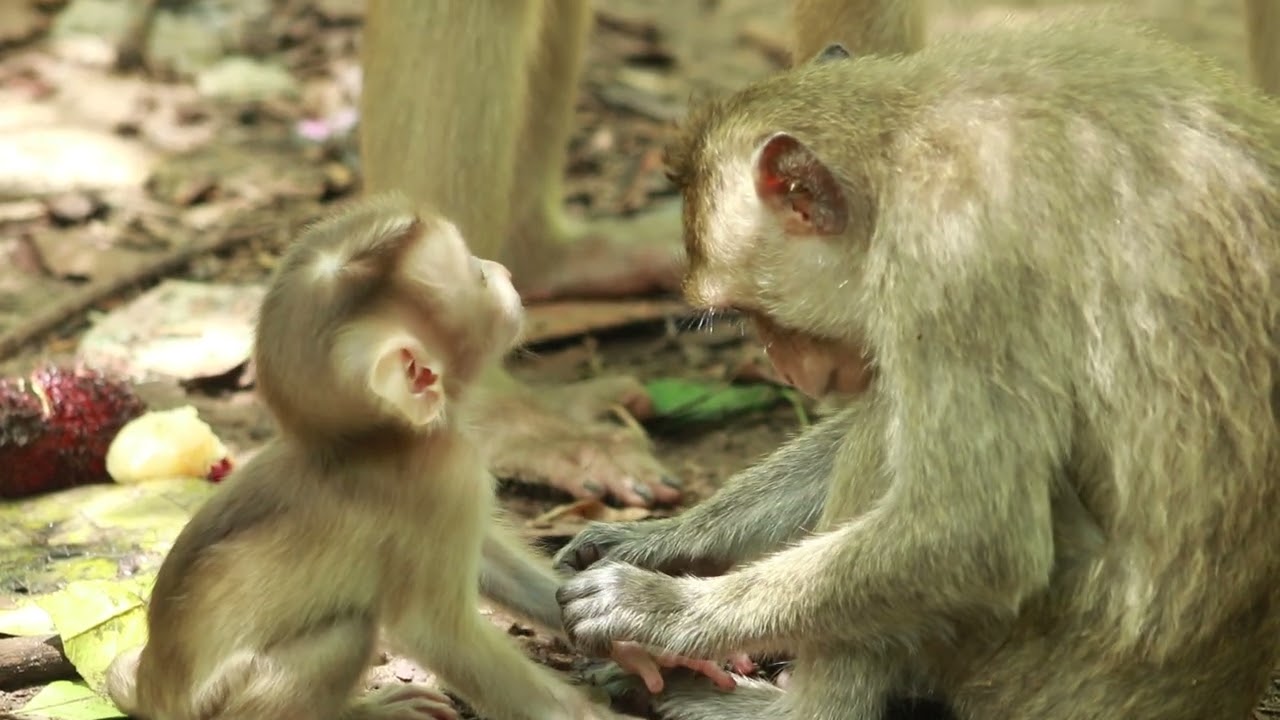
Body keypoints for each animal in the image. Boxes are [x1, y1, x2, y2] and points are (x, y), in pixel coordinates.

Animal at [103, 193, 740, 720]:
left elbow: (489, 561)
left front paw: (631, 638)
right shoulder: (443, 478)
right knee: (347, 632)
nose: (502, 271)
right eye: (476, 277)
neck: (377, 443)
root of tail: (155, 693)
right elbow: (439, 633)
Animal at [552, 13, 1280, 720]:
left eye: (754, 316)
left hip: (1040, 662)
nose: (783, 370)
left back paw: (797, 709)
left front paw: (663, 608)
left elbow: (974, 533)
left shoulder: (953, 261)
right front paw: (657, 542)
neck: (905, 142)